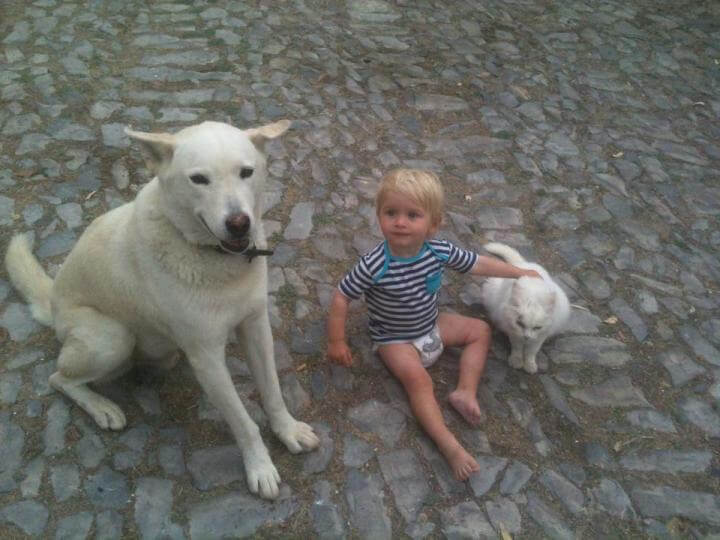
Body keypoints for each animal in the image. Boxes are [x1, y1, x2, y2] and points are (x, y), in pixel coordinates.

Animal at [3, 120, 318, 500]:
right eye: (199, 179)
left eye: (246, 172)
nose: (239, 223)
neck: (216, 260)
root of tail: (53, 302)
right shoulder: (207, 358)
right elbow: (243, 422)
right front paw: (260, 467)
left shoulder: (256, 327)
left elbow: (272, 391)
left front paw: (287, 430)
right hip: (112, 338)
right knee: (58, 378)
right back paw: (103, 408)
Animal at [480, 243, 572, 374]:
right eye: (520, 324)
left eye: (537, 327)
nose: (526, 337)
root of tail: (524, 263)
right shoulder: (513, 330)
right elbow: (517, 348)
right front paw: (516, 361)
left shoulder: (540, 336)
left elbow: (531, 352)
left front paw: (530, 365)